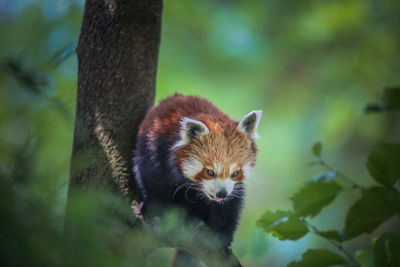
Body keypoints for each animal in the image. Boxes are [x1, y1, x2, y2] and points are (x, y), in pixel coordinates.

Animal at [133, 93, 260, 251]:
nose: (221, 193)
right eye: (210, 172)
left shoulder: (233, 188)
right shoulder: (153, 152)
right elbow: (152, 185)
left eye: (235, 173)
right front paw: (157, 216)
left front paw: (221, 236)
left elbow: (230, 205)